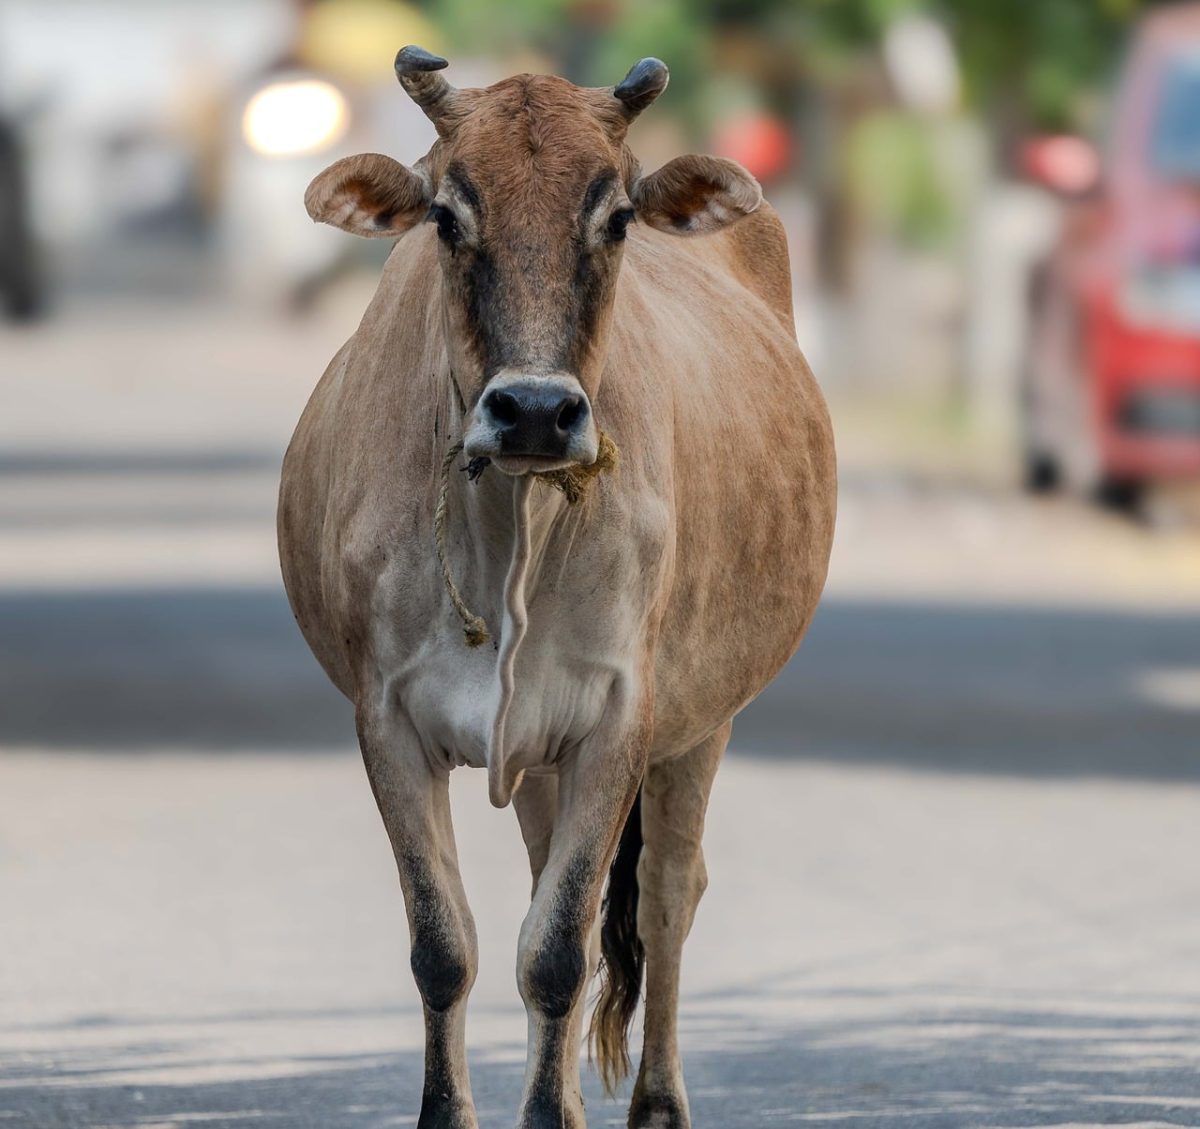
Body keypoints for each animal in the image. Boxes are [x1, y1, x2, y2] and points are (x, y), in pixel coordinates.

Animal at [278, 46, 836, 1129]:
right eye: (447, 214)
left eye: (614, 217)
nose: (535, 411)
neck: (512, 530)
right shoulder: (387, 717)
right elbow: (445, 943)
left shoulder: (620, 716)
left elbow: (557, 952)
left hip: (703, 720)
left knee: (665, 894)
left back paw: (658, 1101)